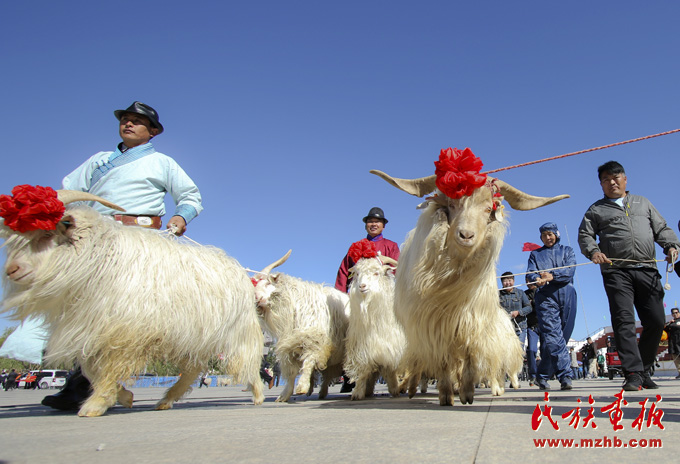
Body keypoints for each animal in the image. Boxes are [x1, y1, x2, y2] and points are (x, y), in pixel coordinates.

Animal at [0, 188, 266, 416]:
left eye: (46, 233)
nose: (12, 270)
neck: (102, 259)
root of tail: (233, 265)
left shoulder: (125, 330)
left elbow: (110, 366)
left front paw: (96, 404)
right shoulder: (91, 326)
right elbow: (89, 368)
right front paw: (121, 396)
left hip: (234, 331)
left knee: (247, 359)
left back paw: (257, 395)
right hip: (194, 334)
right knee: (193, 368)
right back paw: (167, 399)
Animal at [255, 250, 350, 402]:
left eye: (266, 283)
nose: (257, 299)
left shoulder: (315, 341)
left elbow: (308, 363)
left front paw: (301, 387)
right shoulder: (292, 346)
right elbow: (293, 373)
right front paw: (284, 395)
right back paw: (318, 391)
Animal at [372, 149, 568, 406]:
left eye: (487, 208)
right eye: (452, 203)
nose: (465, 235)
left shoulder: (471, 320)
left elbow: (469, 355)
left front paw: (466, 392)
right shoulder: (435, 322)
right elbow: (444, 360)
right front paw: (446, 394)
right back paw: (416, 387)